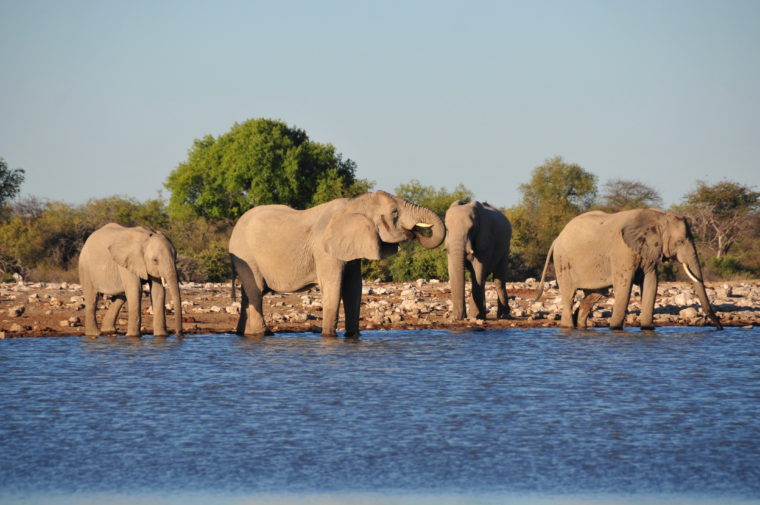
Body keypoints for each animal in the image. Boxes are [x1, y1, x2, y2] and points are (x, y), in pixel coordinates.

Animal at [230, 191, 446, 336]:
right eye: (394, 212)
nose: (415, 232)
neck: (354, 204)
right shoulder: (324, 251)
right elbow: (333, 288)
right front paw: (328, 337)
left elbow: (354, 289)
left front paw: (353, 336)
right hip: (246, 256)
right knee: (256, 291)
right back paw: (264, 334)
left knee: (248, 294)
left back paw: (242, 333)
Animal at [532, 207, 720, 328]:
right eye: (680, 241)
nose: (719, 327)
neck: (658, 217)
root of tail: (557, 238)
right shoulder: (622, 252)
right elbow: (625, 286)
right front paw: (615, 328)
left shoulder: (649, 252)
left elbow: (651, 283)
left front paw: (647, 328)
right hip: (563, 262)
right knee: (569, 295)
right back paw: (568, 326)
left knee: (595, 294)